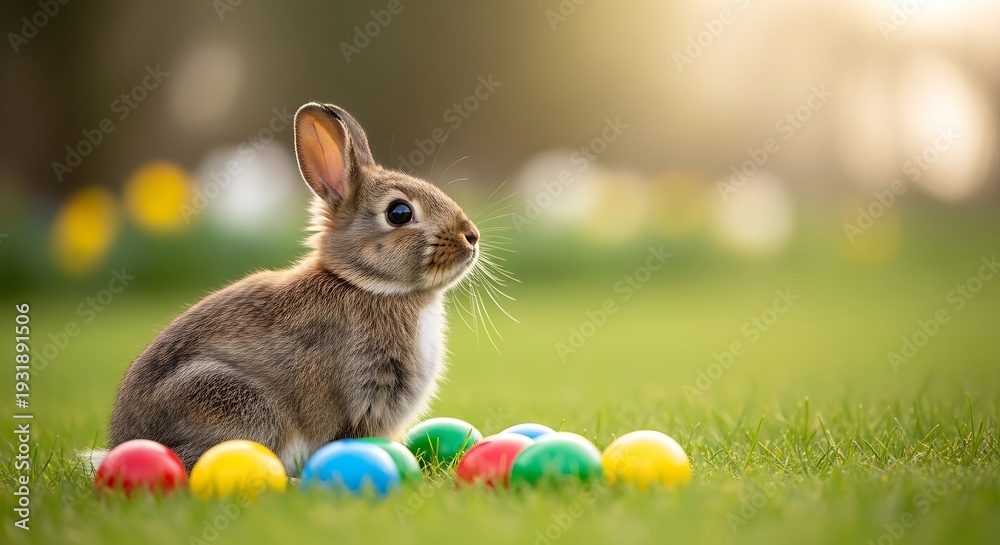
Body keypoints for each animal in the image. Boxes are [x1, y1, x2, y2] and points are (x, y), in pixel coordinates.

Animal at [103, 102, 480, 473]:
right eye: (399, 212)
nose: (472, 236)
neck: (365, 284)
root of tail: (123, 438)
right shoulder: (360, 398)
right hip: (238, 406)